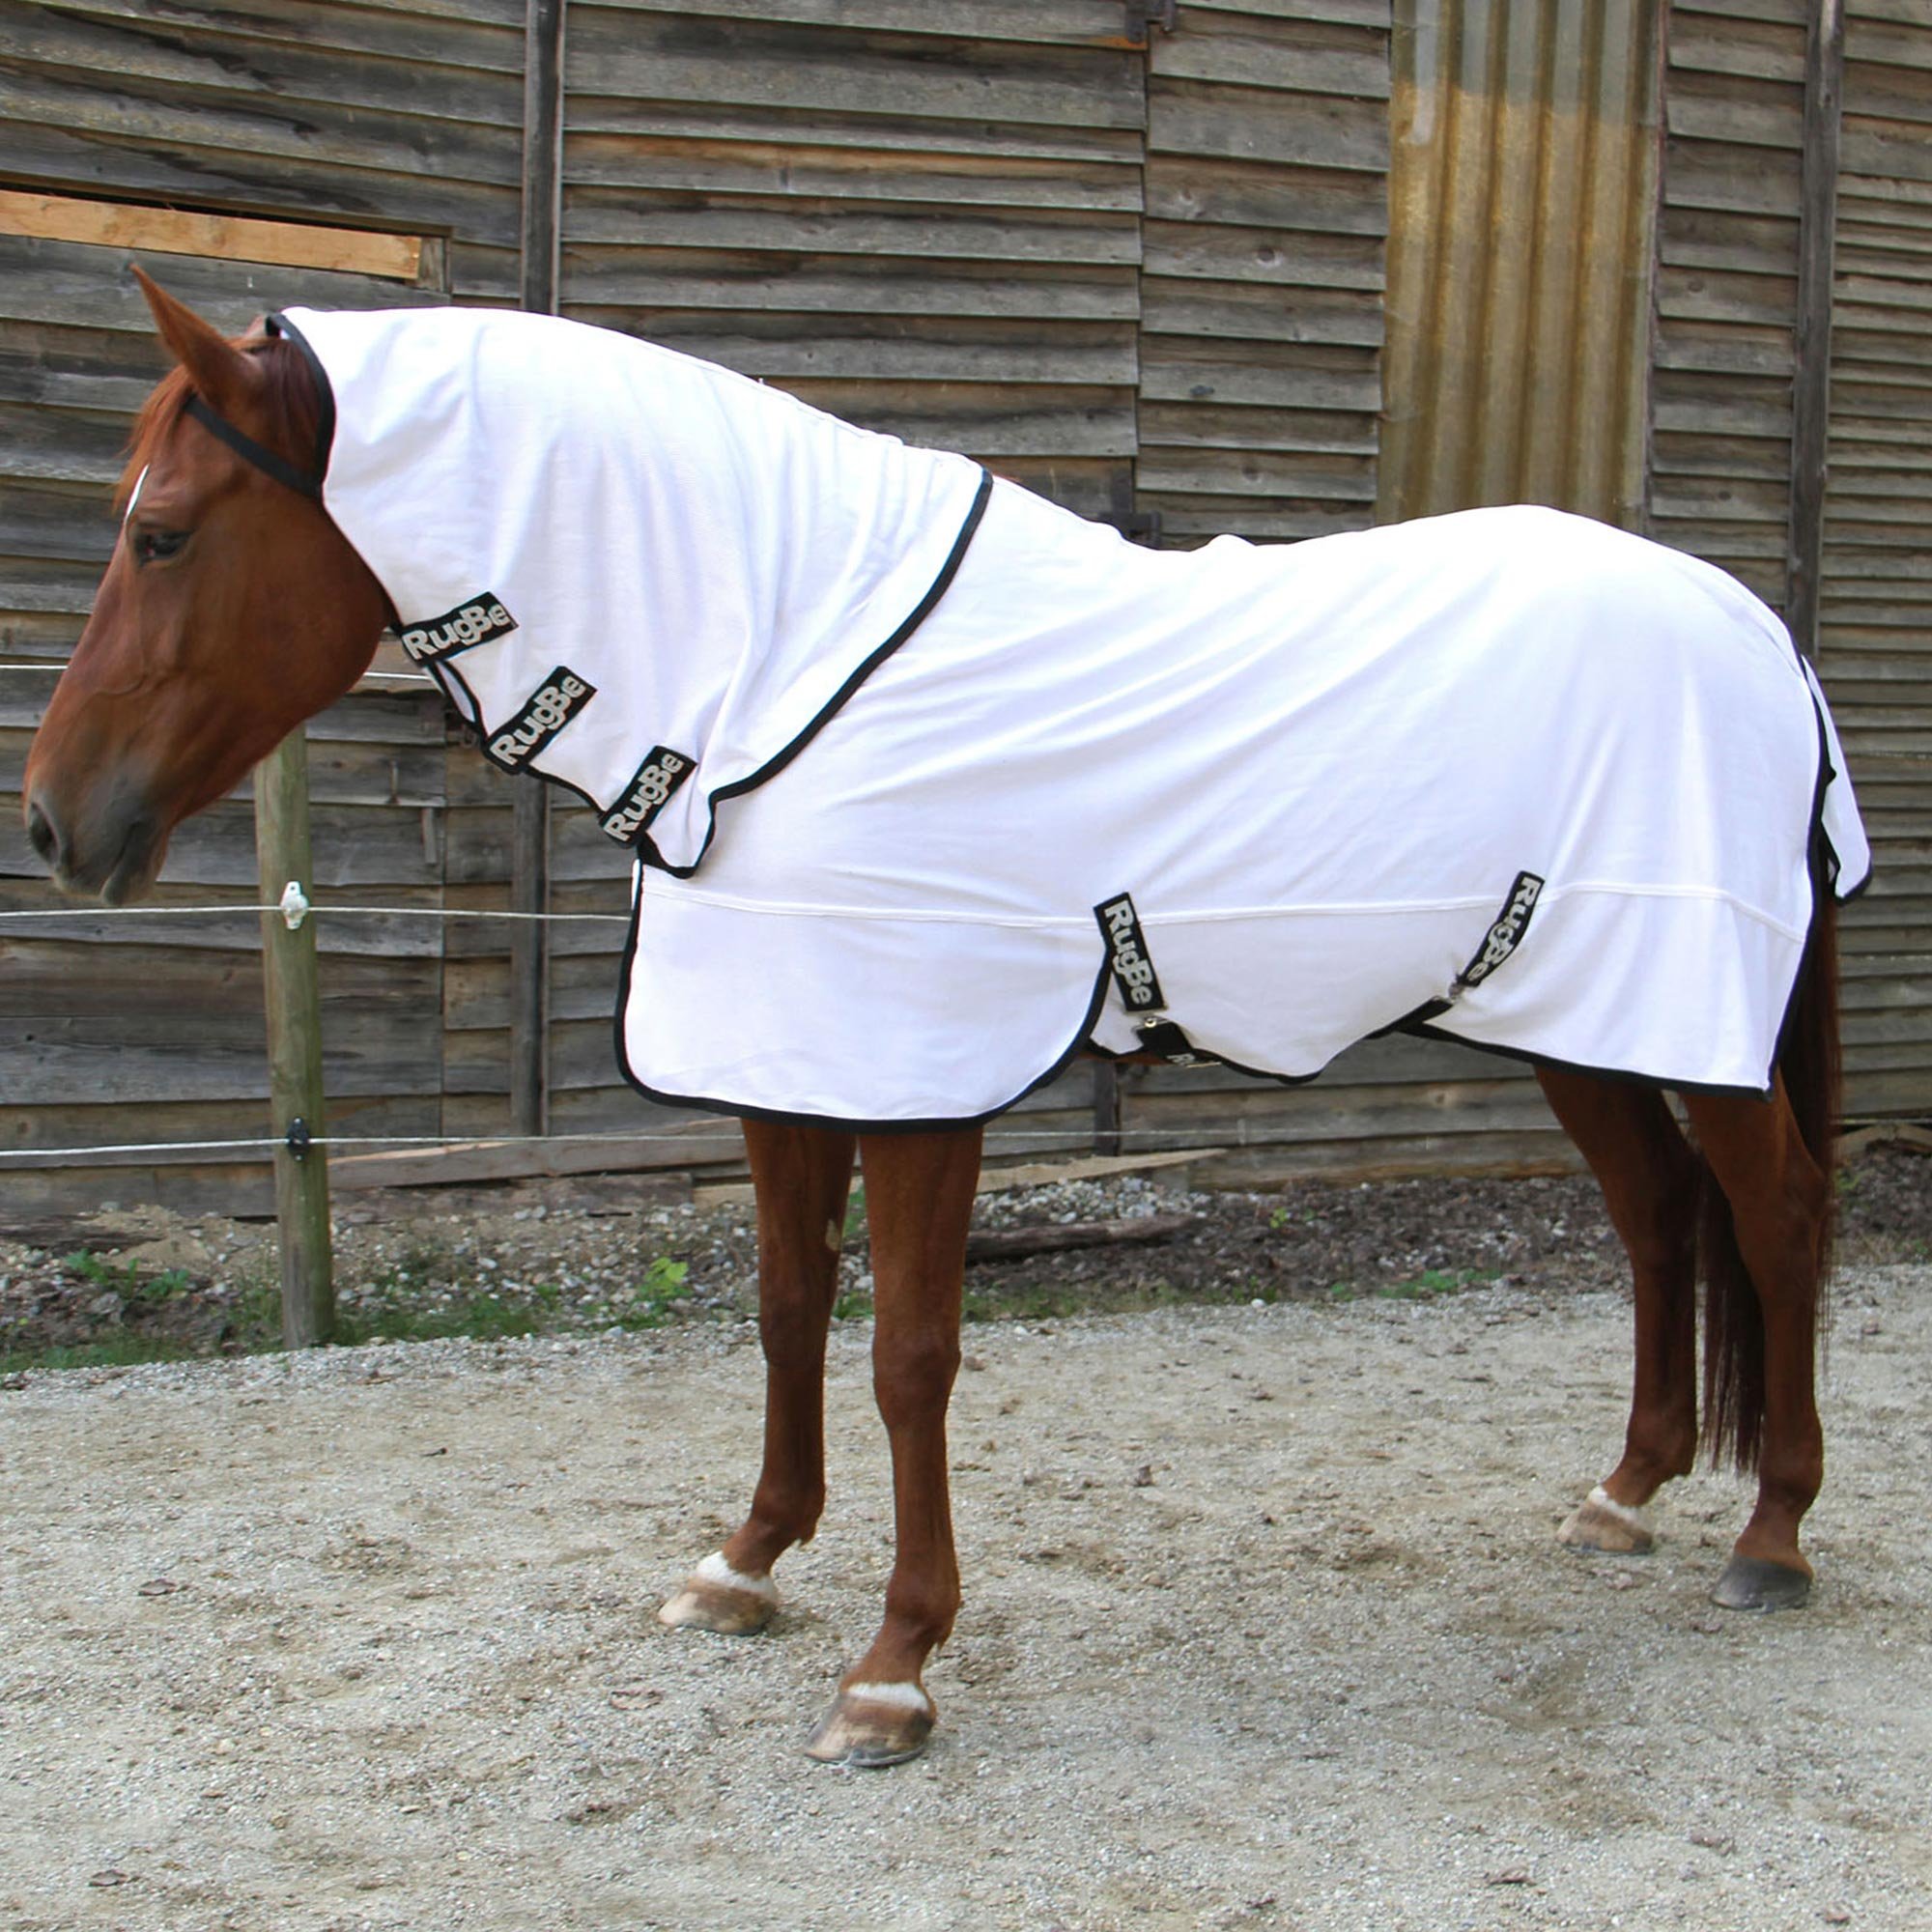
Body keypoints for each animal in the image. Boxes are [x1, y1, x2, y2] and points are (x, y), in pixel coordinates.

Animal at [24, 271, 1852, 1768]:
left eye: (163, 533)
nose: (50, 822)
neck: (781, 678)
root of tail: (1761, 637)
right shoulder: (787, 1060)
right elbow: (782, 1312)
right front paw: (744, 1565)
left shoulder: (918, 1076)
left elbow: (909, 1355)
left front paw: (894, 1668)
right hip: (1578, 1017)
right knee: (1657, 1216)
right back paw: (1625, 1497)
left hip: (1683, 1018)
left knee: (1774, 1214)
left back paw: (1772, 1537)